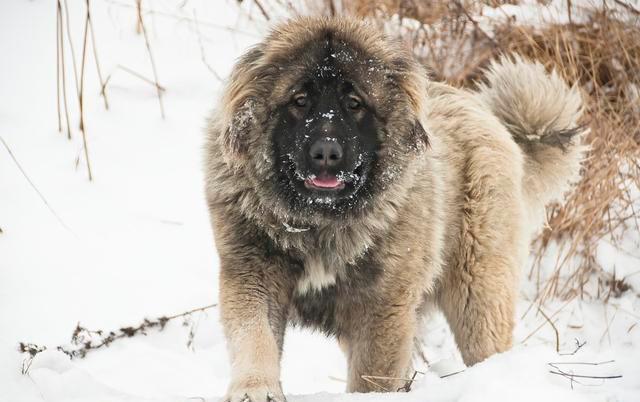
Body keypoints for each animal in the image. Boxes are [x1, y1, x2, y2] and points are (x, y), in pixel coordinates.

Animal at [204, 16, 584, 402]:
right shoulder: (253, 274)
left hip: (477, 293)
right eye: (299, 100)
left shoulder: (383, 307)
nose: (326, 152)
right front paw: (255, 389)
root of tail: (487, 115)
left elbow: (372, 375)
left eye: (354, 103)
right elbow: (255, 338)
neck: (321, 223)